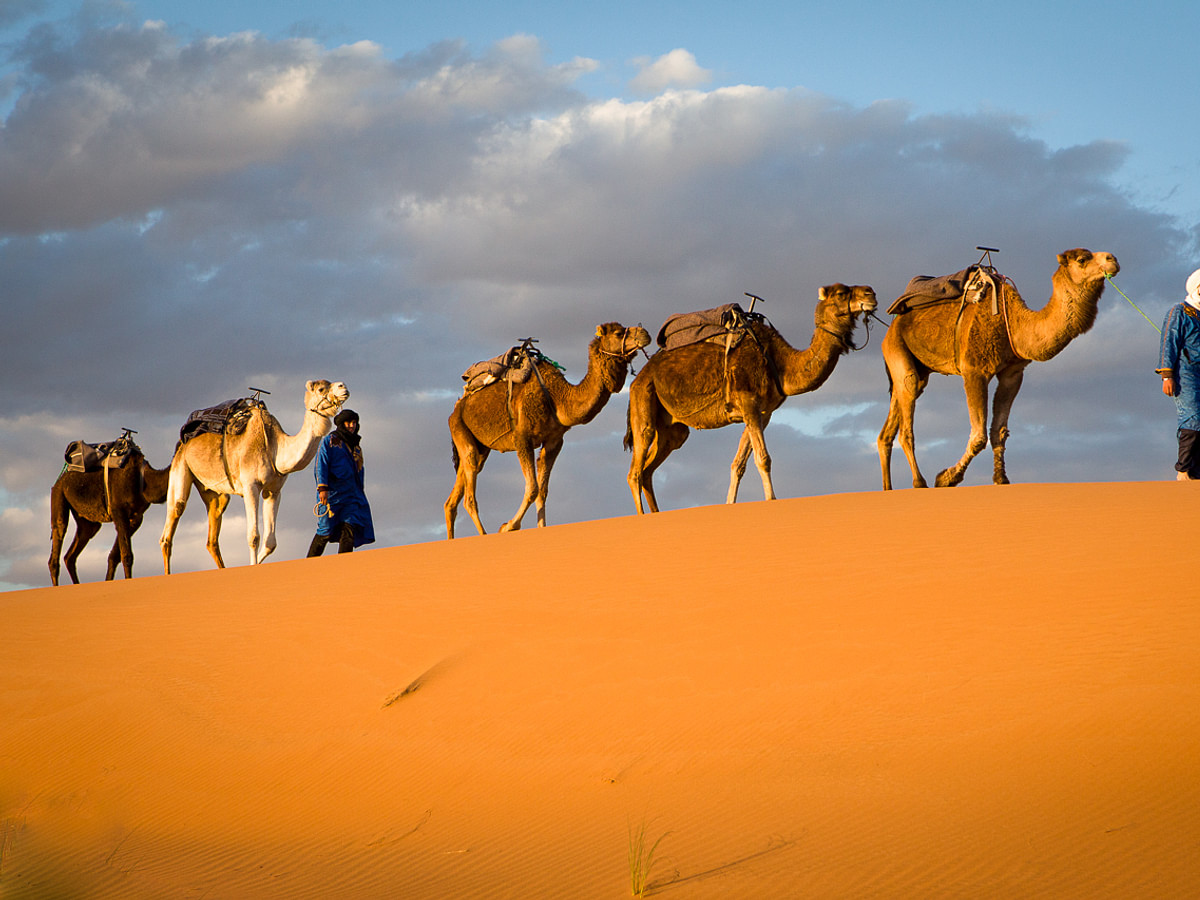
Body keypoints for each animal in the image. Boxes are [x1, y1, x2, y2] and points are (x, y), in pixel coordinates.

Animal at [48, 442, 171, 585]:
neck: (143, 478)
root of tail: (60, 479)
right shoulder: (119, 511)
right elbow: (126, 555)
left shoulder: (136, 518)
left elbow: (114, 556)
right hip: (59, 494)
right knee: (58, 535)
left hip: (87, 520)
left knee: (72, 553)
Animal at [159, 379, 349, 572]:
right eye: (321, 388)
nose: (343, 387)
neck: (275, 447)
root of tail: (182, 442)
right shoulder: (251, 486)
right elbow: (254, 537)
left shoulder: (274, 491)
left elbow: (270, 543)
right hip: (180, 466)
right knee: (172, 522)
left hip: (213, 490)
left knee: (212, 534)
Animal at [445, 322, 652, 538]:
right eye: (619, 333)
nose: (645, 333)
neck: (558, 398)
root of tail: (457, 407)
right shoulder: (522, 438)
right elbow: (533, 488)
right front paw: (508, 526)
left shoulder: (554, 441)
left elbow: (543, 491)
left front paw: (541, 528)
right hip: (459, 428)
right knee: (469, 495)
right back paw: (483, 534)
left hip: (480, 447)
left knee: (453, 498)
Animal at [625, 284, 879, 513]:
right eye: (841, 293)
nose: (871, 294)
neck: (780, 362)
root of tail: (639, 378)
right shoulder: (748, 402)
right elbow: (763, 458)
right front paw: (771, 500)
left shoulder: (762, 413)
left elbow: (738, 464)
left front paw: (730, 504)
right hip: (644, 398)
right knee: (636, 469)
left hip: (672, 429)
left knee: (649, 469)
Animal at [877, 248, 1120, 490]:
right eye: (1082, 259)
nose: (1113, 259)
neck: (1014, 323)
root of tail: (892, 324)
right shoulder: (974, 370)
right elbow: (978, 436)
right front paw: (947, 478)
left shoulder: (1012, 374)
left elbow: (999, 431)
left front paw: (1001, 478)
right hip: (896, 347)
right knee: (906, 415)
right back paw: (920, 482)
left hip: (918, 368)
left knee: (889, 427)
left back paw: (888, 488)